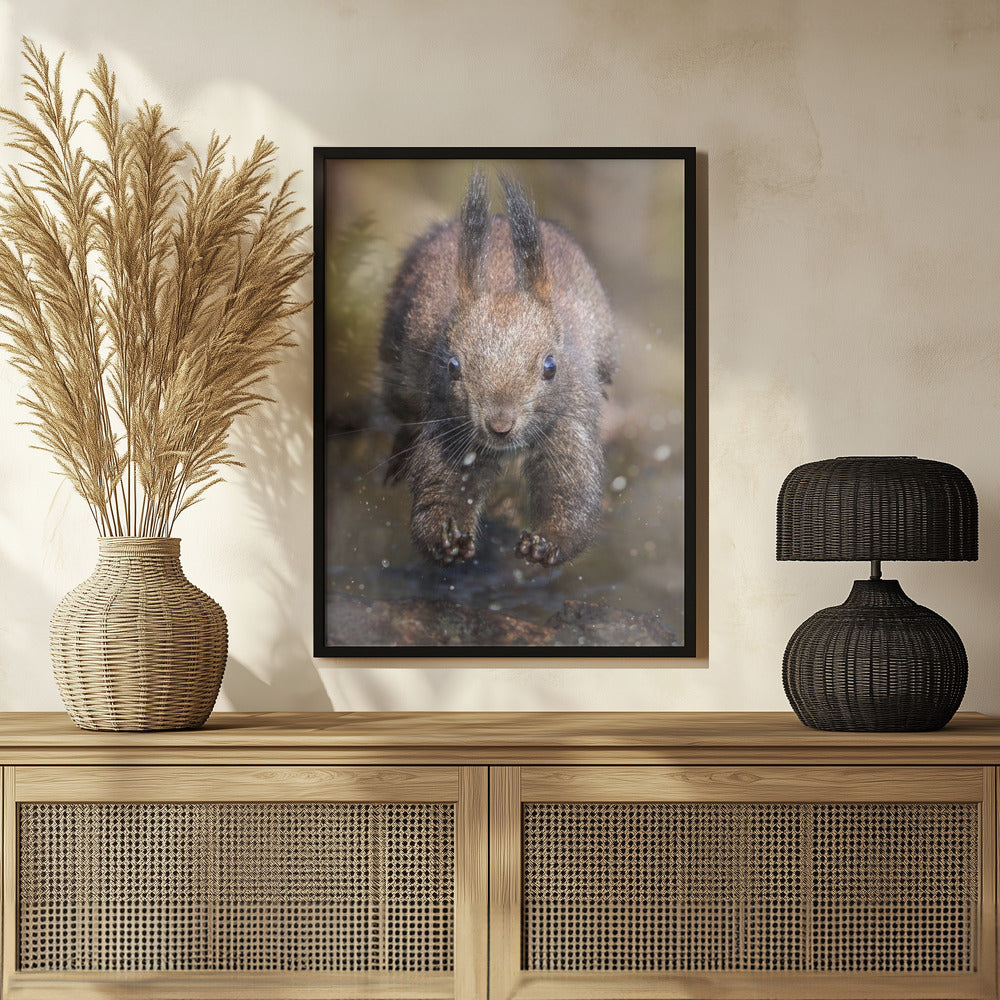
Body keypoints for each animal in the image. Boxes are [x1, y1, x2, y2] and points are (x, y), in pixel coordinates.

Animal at [379, 169, 618, 566]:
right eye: (453, 366)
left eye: (550, 367)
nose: (500, 426)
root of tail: (500, 220)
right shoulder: (450, 424)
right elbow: (442, 483)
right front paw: (448, 537)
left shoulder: (569, 417)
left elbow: (572, 489)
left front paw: (546, 542)